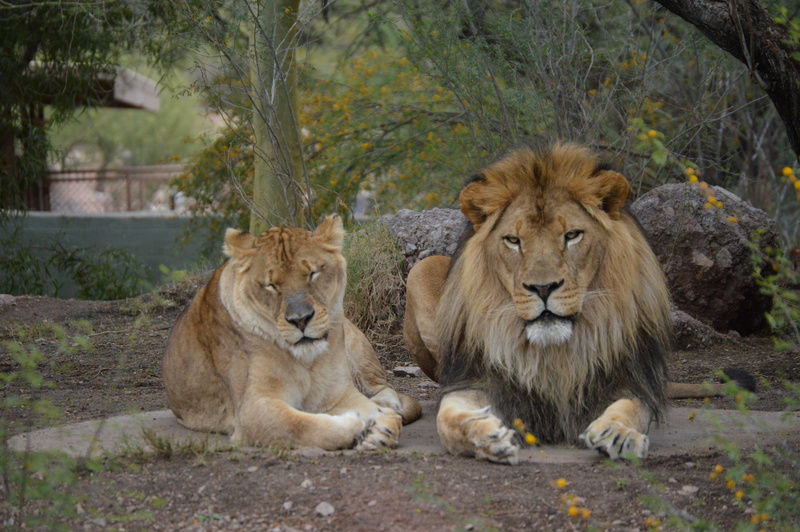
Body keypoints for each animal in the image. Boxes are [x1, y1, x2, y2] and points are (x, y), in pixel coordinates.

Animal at [163, 215, 421, 451]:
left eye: (313, 273)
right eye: (271, 285)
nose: (300, 320)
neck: (306, 360)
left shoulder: (337, 394)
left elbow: (378, 413)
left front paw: (382, 422)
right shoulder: (253, 408)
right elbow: (303, 425)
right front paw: (362, 427)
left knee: (383, 387)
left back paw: (388, 404)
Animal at [404, 143, 751, 464]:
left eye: (571, 235)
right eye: (513, 241)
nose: (543, 288)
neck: (555, 355)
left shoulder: (629, 378)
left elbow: (632, 407)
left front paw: (619, 433)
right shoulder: (471, 378)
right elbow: (449, 417)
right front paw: (485, 435)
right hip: (420, 270)